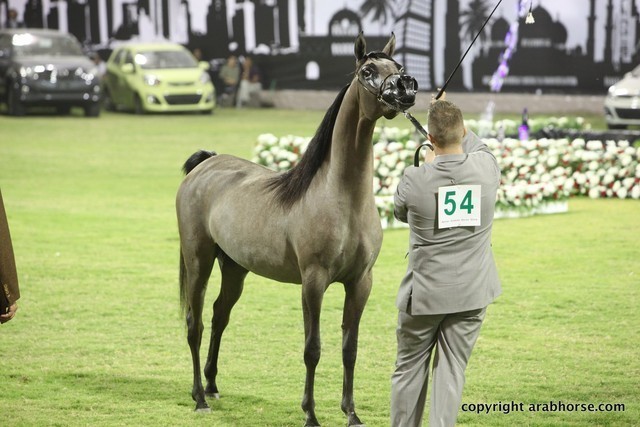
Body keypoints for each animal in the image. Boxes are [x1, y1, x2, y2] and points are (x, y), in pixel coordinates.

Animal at [176, 32, 417, 426]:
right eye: (367, 71)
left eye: (396, 66)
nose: (406, 88)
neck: (341, 198)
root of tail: (207, 163)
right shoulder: (313, 282)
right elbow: (312, 348)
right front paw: (311, 414)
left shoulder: (361, 283)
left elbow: (350, 348)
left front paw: (352, 413)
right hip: (199, 259)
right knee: (194, 323)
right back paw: (199, 397)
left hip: (235, 268)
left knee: (218, 316)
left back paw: (211, 385)